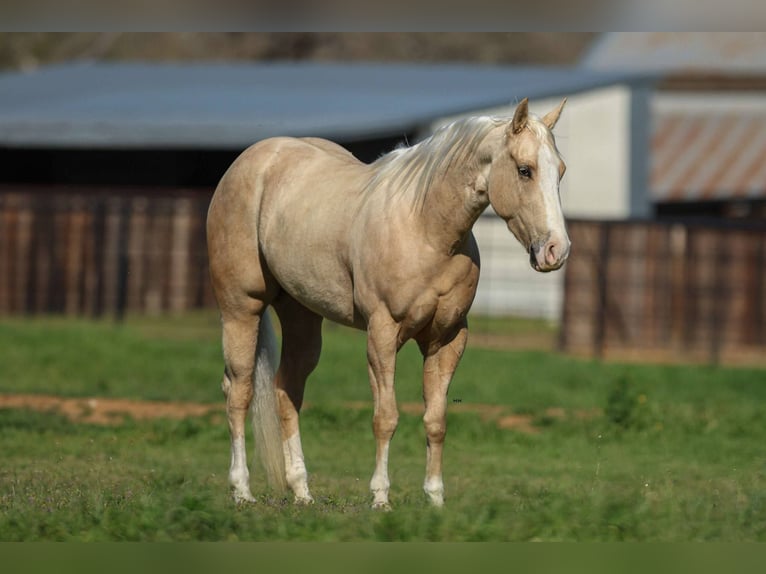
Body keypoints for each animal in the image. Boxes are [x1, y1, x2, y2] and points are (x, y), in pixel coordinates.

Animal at [206, 97, 570, 509]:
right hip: (241, 309)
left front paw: (435, 499)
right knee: (239, 391)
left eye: (560, 171)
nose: (556, 250)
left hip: (302, 316)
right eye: (525, 170)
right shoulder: (381, 334)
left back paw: (302, 492)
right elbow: (386, 417)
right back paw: (242, 490)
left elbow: (436, 420)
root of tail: (254, 158)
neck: (425, 228)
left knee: (288, 389)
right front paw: (380, 498)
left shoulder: (447, 339)